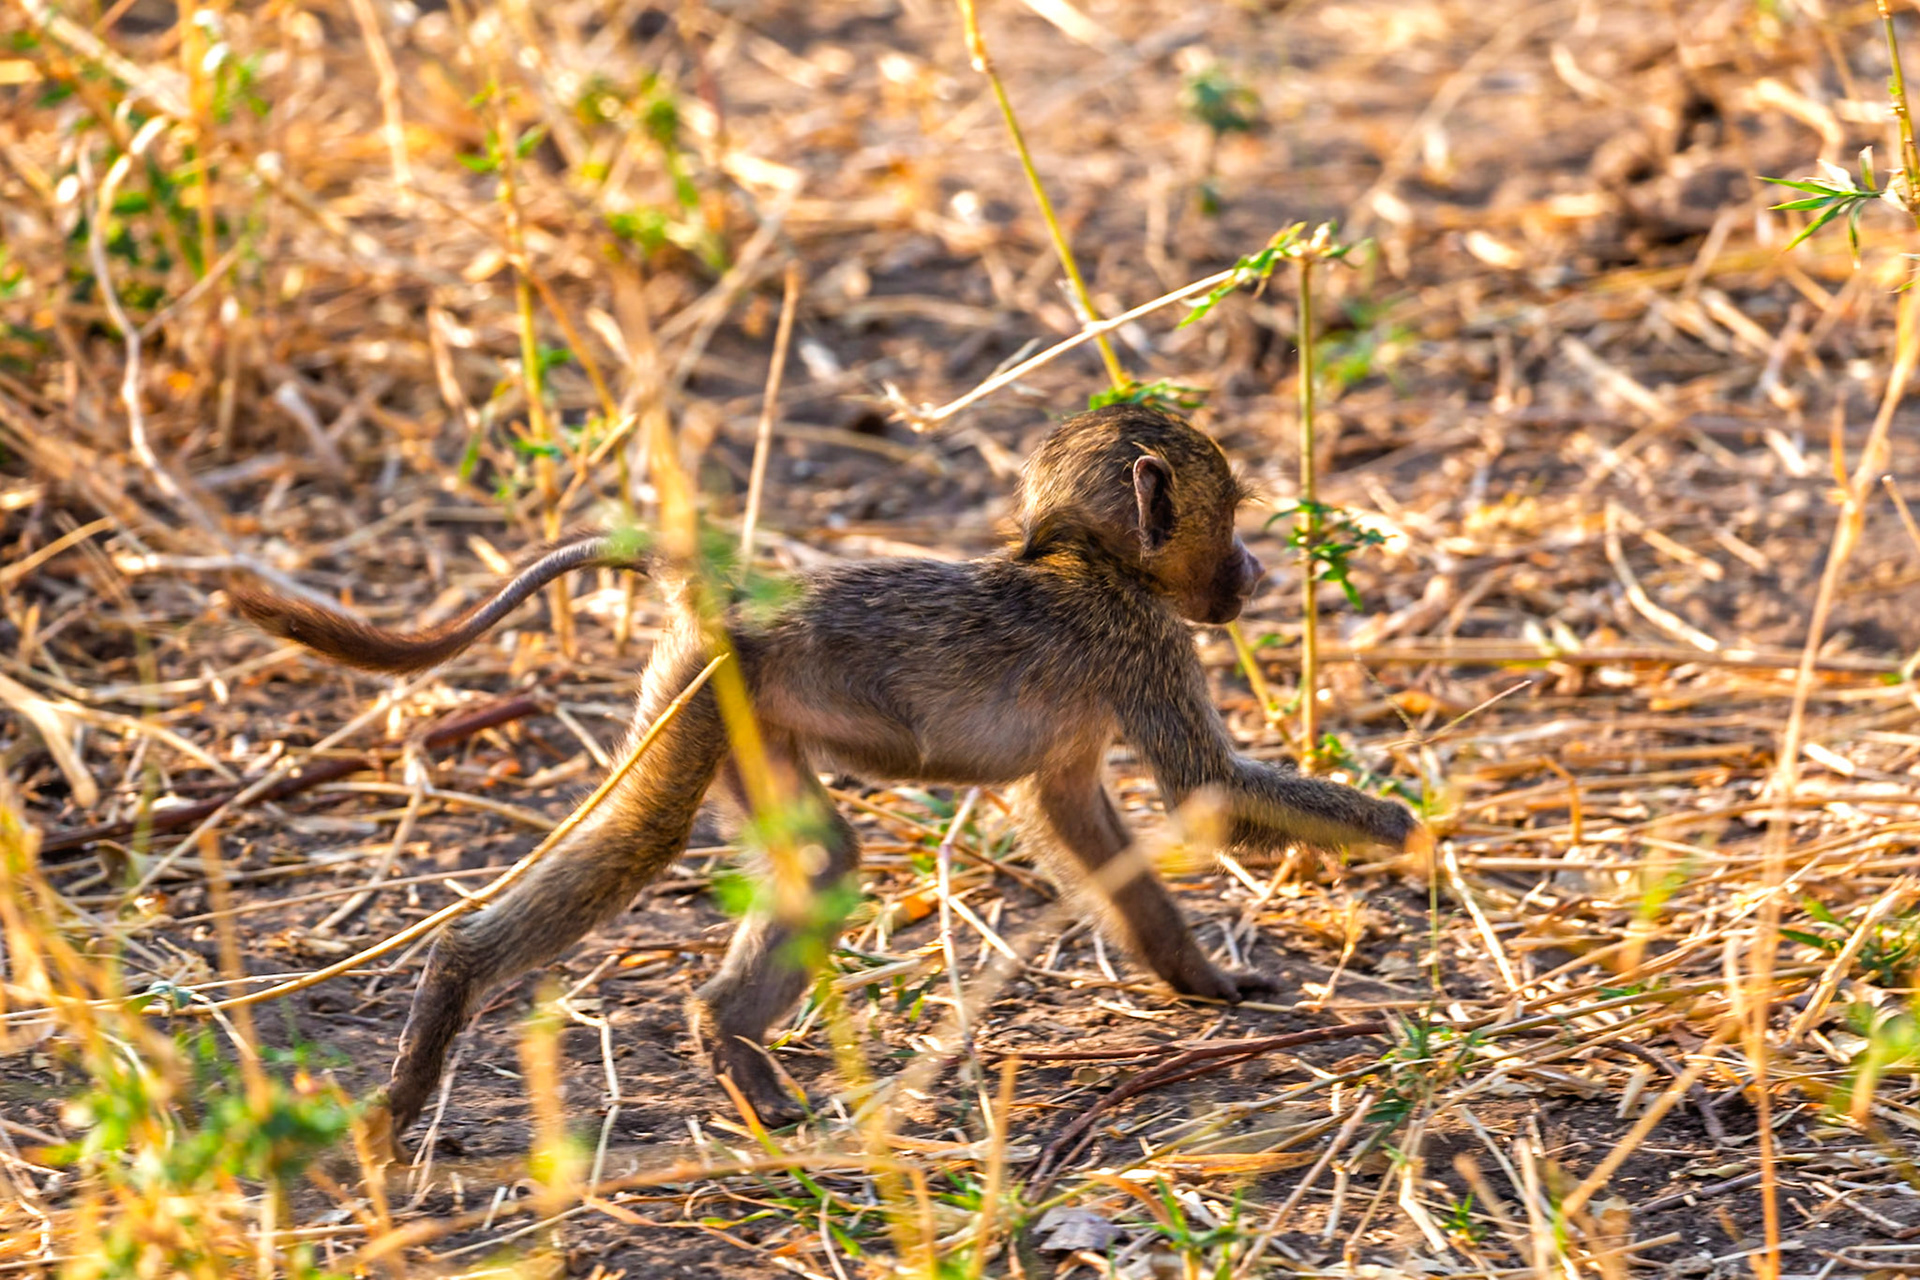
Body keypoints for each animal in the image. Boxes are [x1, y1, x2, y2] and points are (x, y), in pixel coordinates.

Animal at [229, 404, 1427, 1144]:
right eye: (1226, 522)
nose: (1254, 570)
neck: (1082, 560)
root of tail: (730, 593)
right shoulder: (1147, 644)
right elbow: (1206, 796)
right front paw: (1405, 826)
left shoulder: (1081, 742)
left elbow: (1079, 823)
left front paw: (1203, 982)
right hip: (703, 694)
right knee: (649, 840)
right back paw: (455, 996)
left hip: (736, 713)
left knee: (824, 857)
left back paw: (730, 1043)